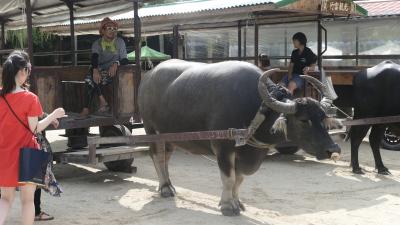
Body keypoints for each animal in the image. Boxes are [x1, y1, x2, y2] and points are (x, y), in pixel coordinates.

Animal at [139, 59, 342, 216]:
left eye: (322, 117)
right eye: (303, 120)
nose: (333, 149)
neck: (256, 111)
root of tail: (148, 77)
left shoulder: (249, 153)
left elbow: (239, 178)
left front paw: (238, 202)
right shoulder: (222, 147)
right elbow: (228, 178)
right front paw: (227, 206)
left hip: (169, 136)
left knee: (165, 157)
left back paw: (168, 185)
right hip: (151, 129)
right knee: (157, 156)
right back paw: (165, 188)